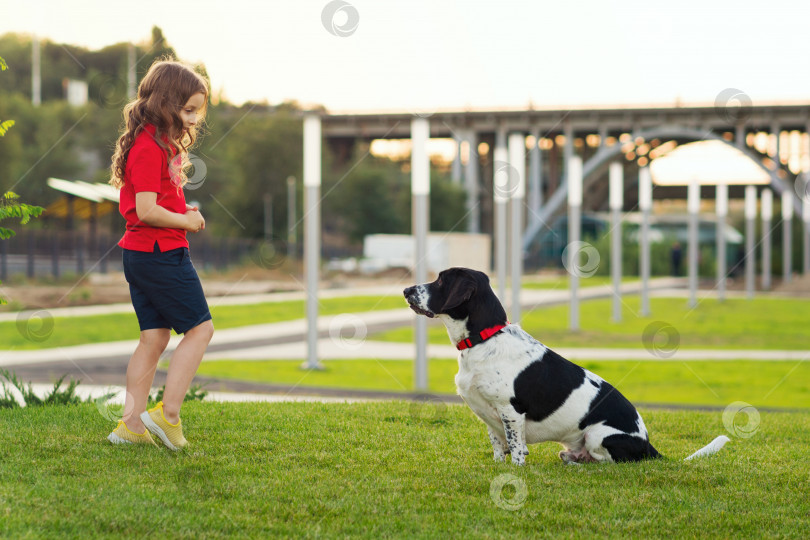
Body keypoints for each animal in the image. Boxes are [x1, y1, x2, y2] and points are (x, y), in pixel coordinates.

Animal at [404, 266, 724, 464]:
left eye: (441, 281)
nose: (406, 290)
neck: (485, 339)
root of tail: (648, 445)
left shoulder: (510, 412)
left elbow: (516, 450)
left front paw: (515, 472)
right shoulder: (489, 418)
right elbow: (498, 448)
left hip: (598, 435)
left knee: (609, 462)